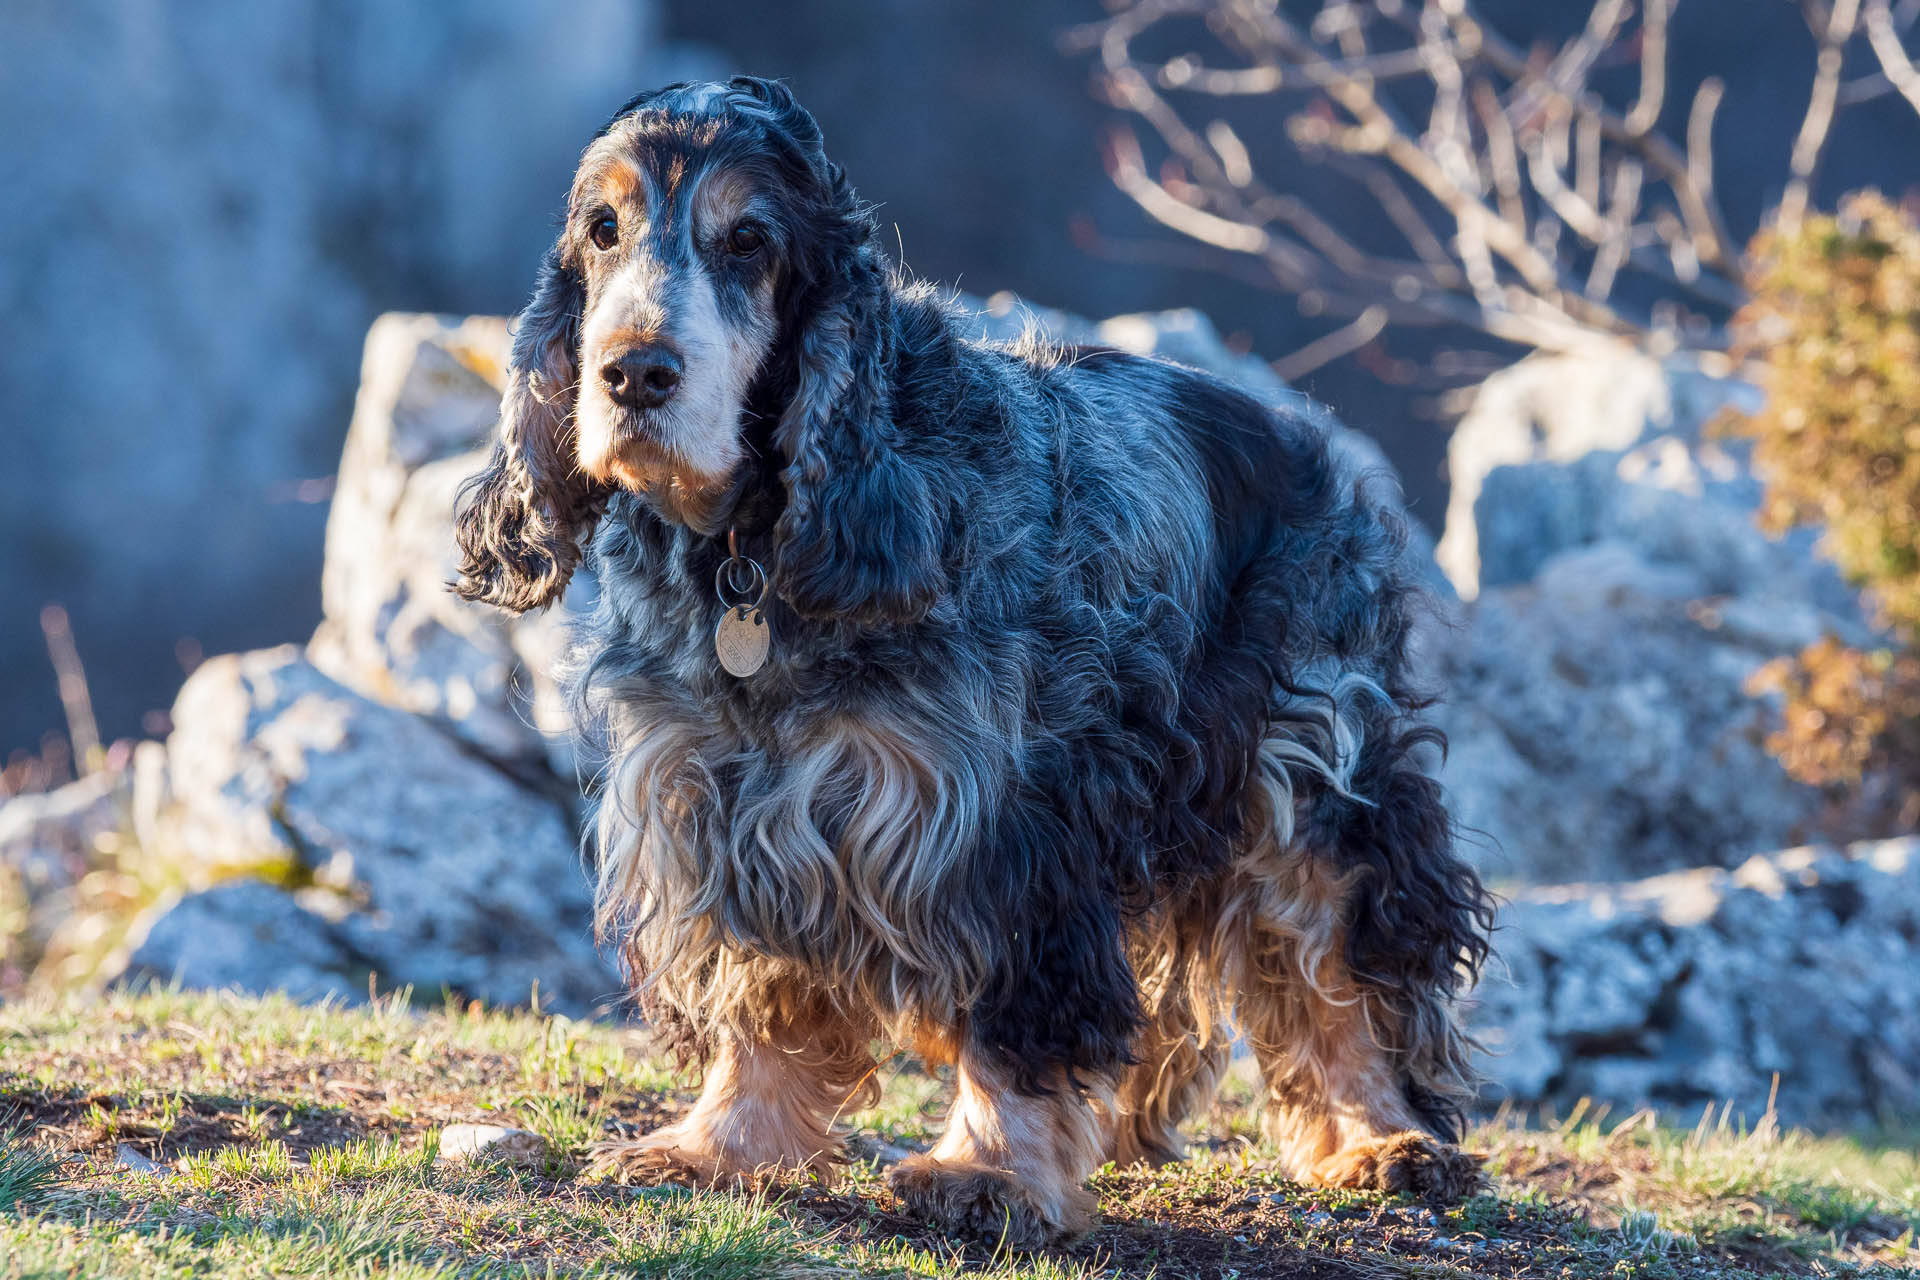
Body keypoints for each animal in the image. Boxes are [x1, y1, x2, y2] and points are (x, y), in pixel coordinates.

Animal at [453, 75, 1497, 1243]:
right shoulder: (721, 803)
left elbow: (1014, 1011)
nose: (635, 371)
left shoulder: (999, 827)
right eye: (603, 229)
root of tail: (1306, 438)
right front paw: (720, 1144)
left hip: (1311, 765)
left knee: (1339, 963)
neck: (752, 556)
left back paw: (1381, 1139)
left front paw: (989, 1172)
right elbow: (762, 998)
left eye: (749, 242)